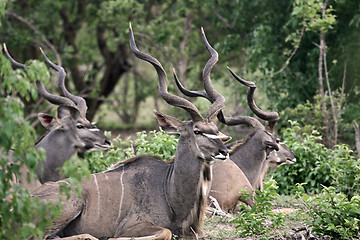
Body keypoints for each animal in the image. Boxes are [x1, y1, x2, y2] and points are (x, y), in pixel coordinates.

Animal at [30, 24, 228, 240]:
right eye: (197, 131)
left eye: (216, 130)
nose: (224, 152)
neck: (168, 190)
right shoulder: (134, 225)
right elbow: (164, 232)